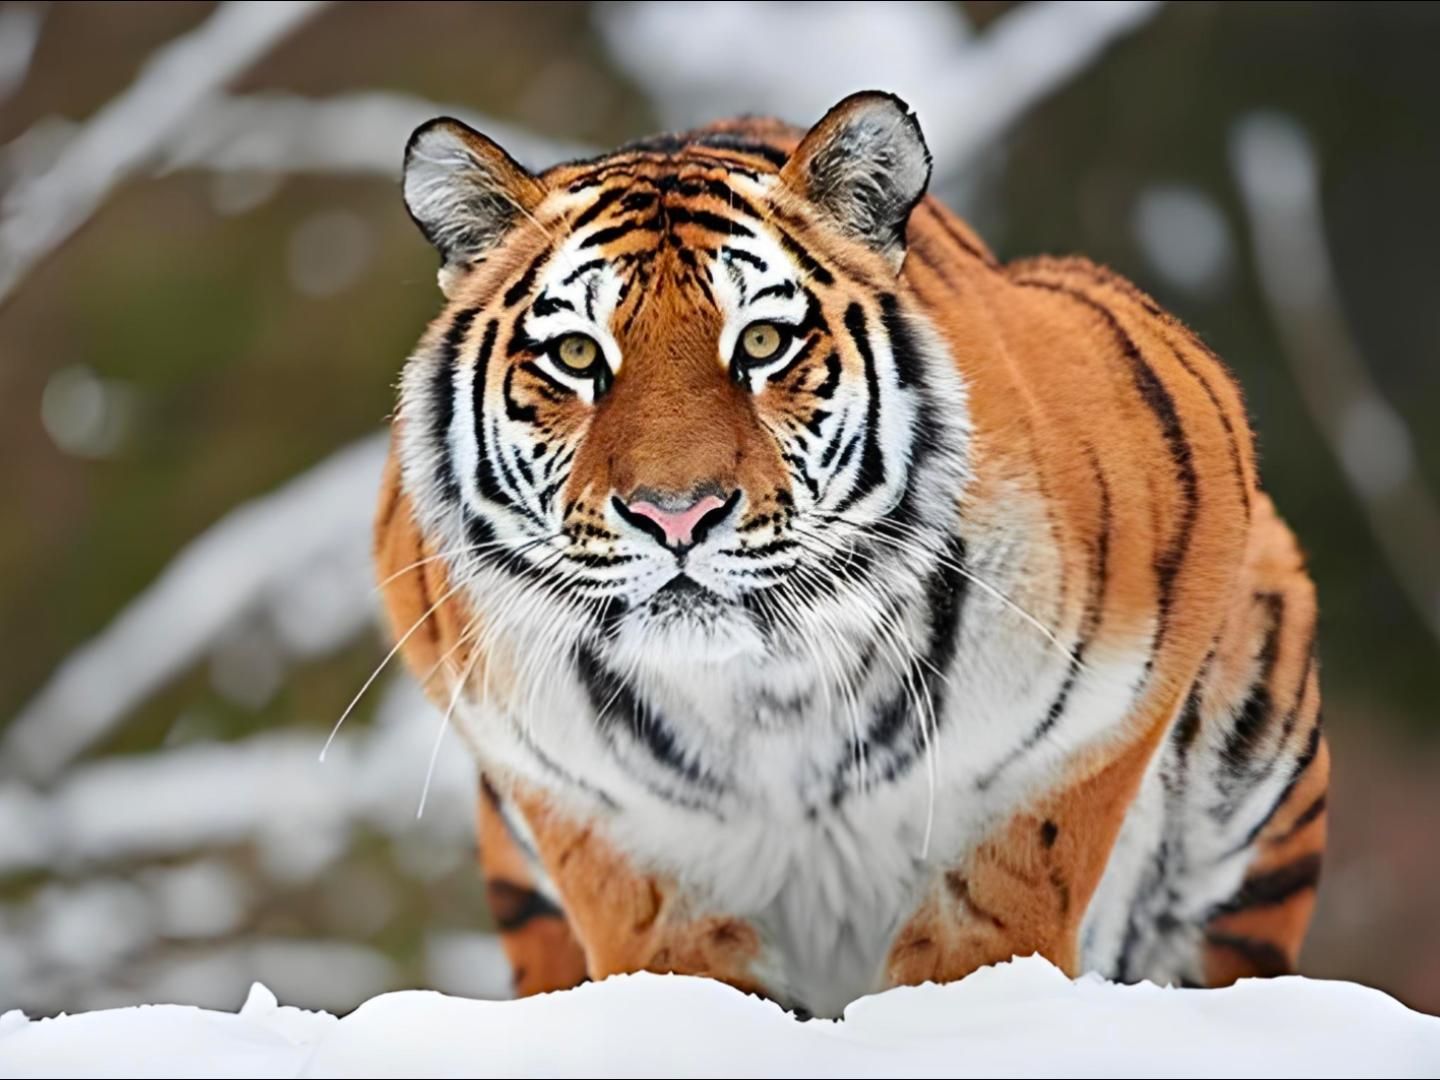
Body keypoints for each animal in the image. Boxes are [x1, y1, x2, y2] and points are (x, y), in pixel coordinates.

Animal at [374, 91, 1329, 1017]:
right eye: (575, 353)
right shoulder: (596, 812)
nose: (676, 516)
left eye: (763, 343)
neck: (769, 690)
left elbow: (992, 923)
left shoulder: (1080, 736)